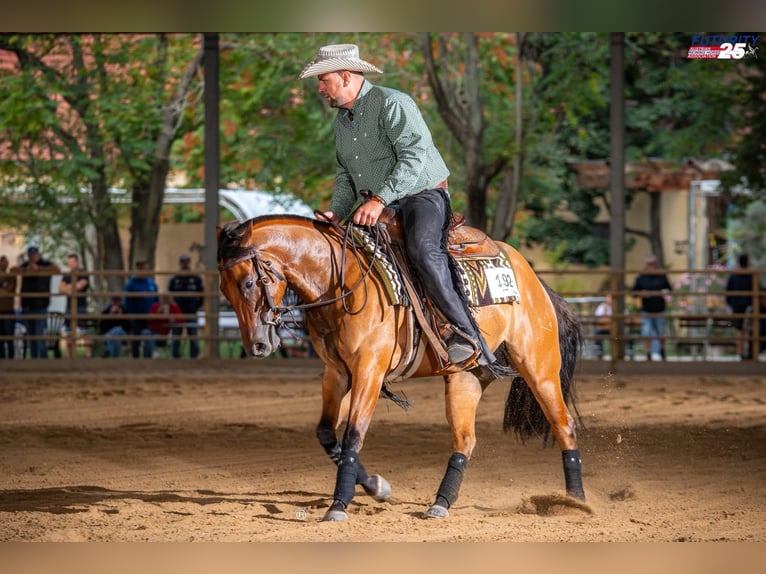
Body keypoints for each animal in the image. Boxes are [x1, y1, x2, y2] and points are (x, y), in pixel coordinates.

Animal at [217, 214, 585, 522]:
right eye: (223, 289)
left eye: (248, 283)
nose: (257, 346)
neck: (341, 282)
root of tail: (533, 279)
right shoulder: (337, 373)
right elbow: (327, 433)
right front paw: (376, 486)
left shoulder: (369, 370)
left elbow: (353, 435)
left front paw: (338, 505)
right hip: (465, 378)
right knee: (465, 439)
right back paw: (440, 503)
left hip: (539, 368)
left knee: (563, 426)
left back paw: (576, 501)